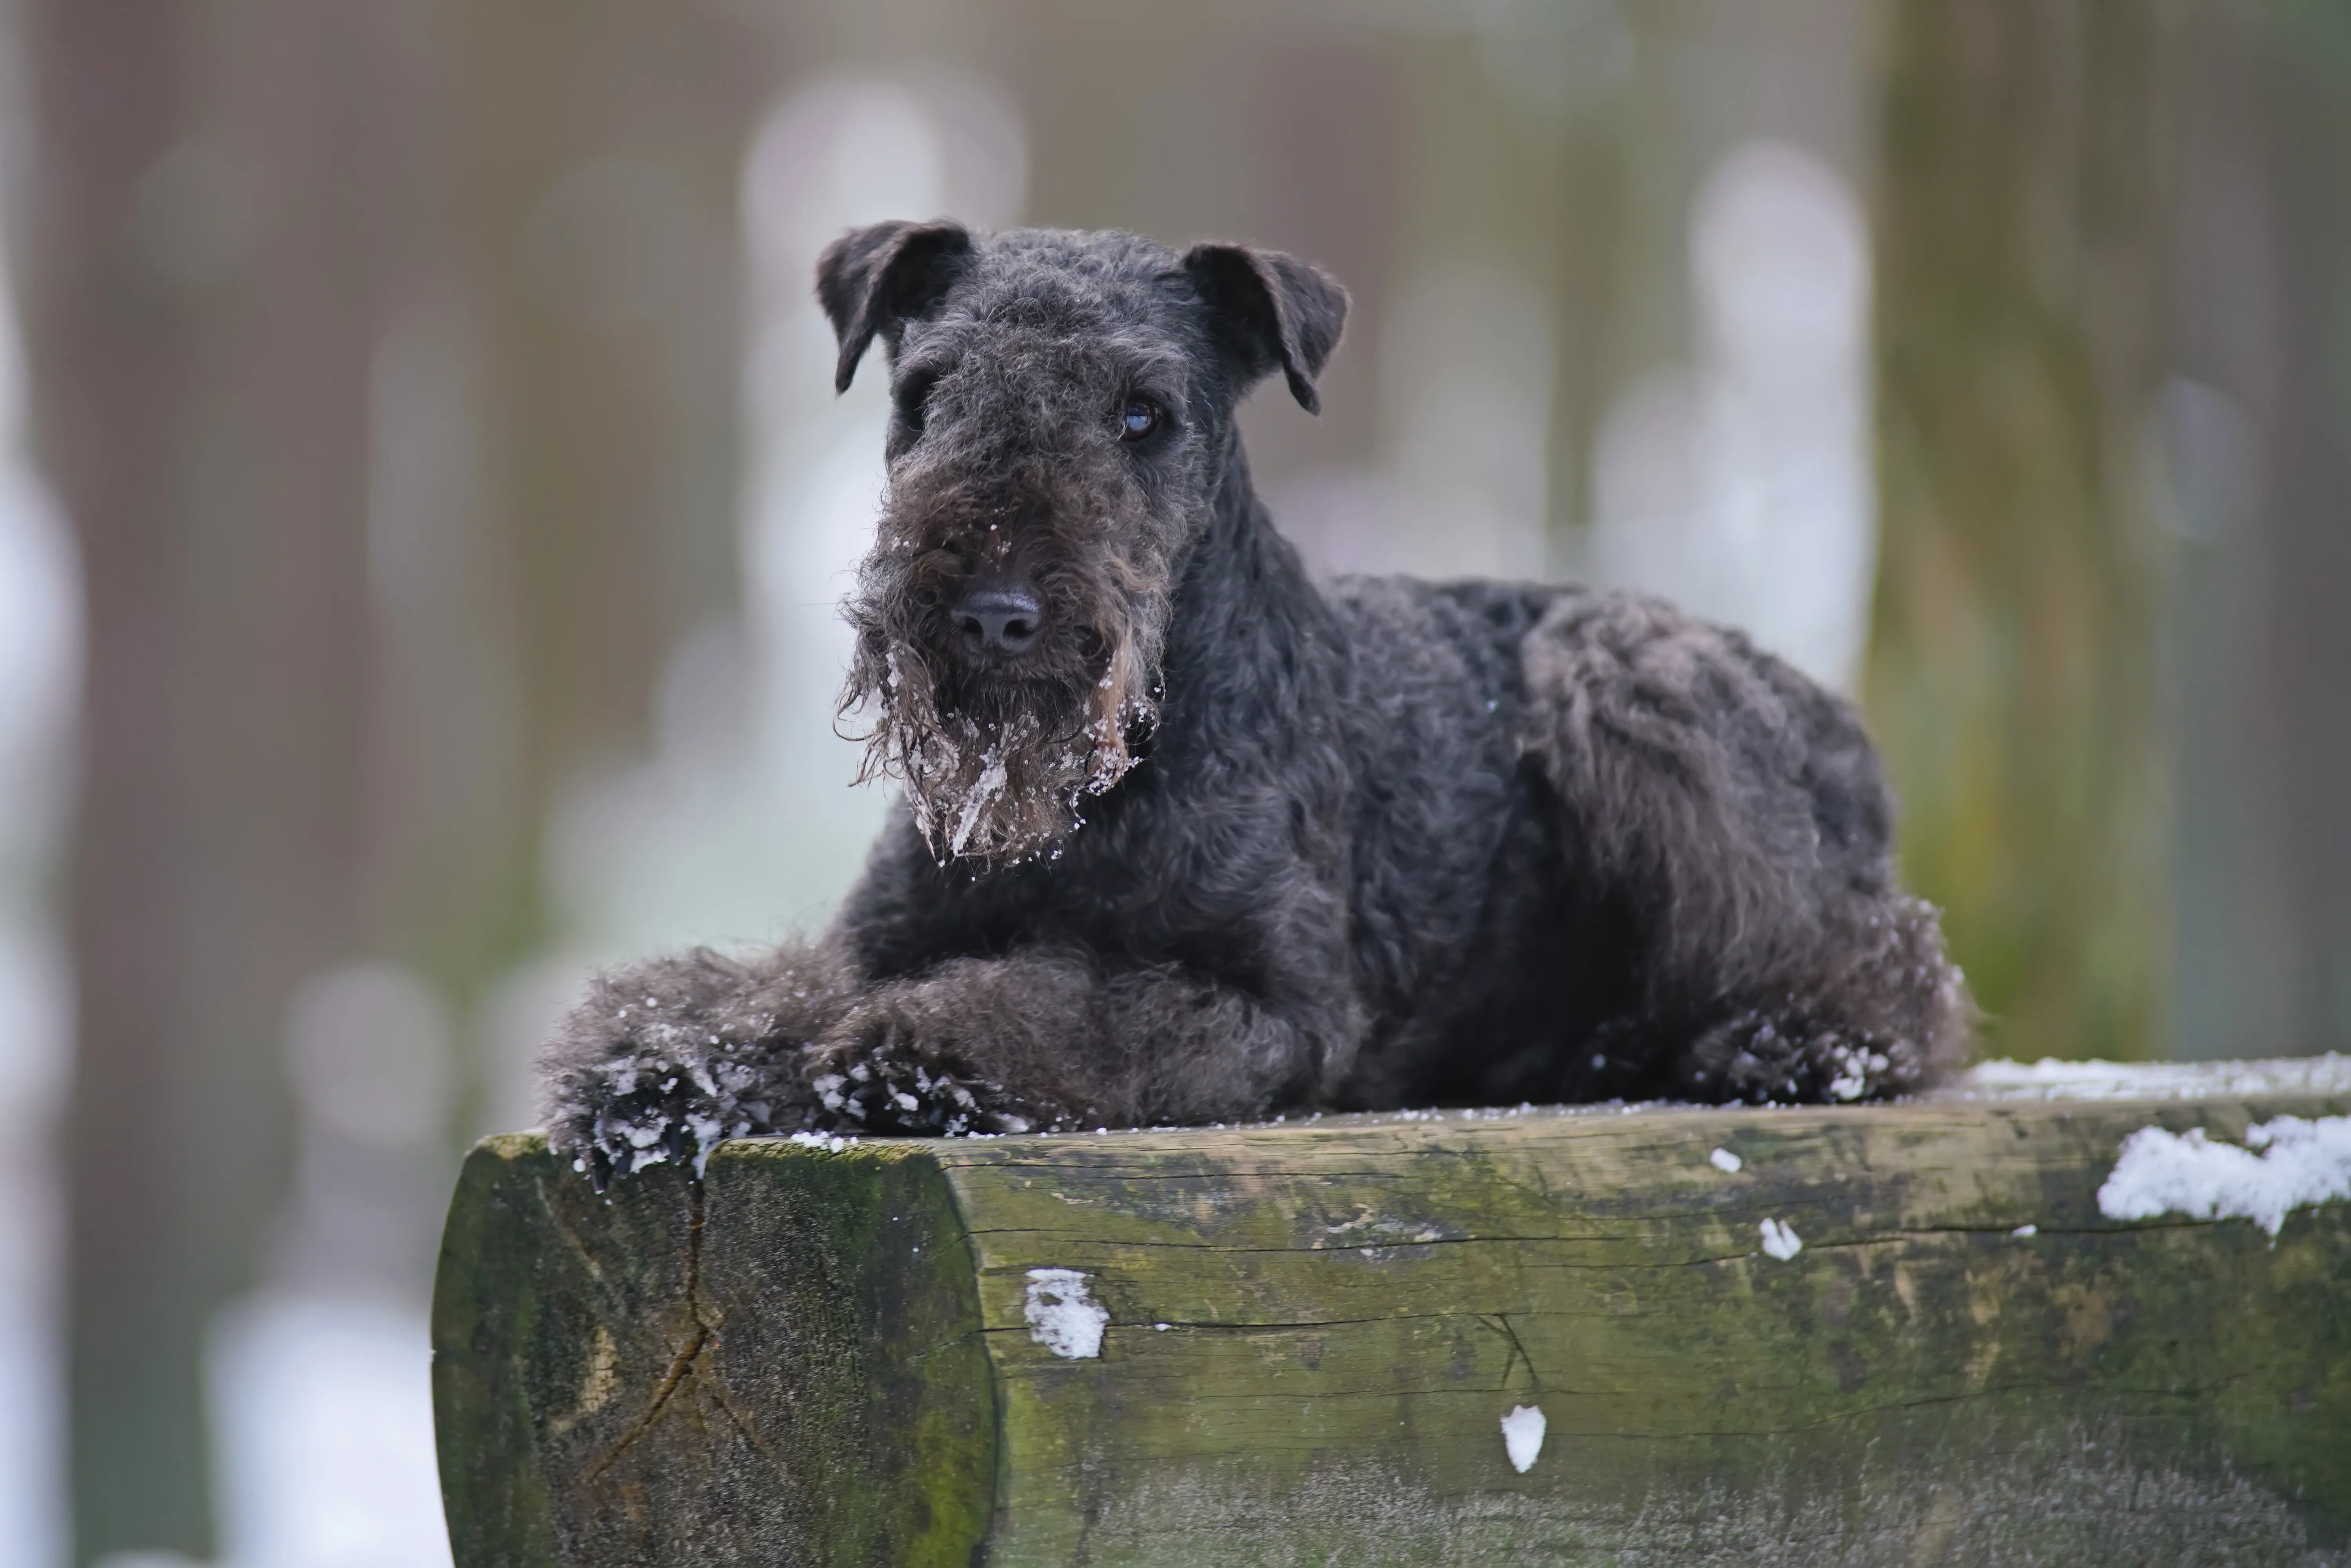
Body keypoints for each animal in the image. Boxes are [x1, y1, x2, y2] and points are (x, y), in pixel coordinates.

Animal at [538, 223, 1965, 1190]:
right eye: (923, 393)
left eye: (1142, 413)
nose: (994, 613)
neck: (1093, 797)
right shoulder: (878, 939)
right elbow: (786, 991)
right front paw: (673, 1059)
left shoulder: (1274, 1010)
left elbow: (1056, 1011)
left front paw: (916, 1051)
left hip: (1623, 673)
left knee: (1894, 970)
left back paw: (1784, 1044)